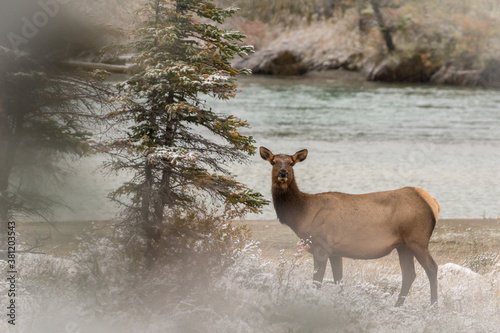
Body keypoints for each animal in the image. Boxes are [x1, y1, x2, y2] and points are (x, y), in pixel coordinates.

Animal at [260, 147, 440, 304]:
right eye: (274, 162)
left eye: (291, 163)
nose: (283, 173)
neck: (302, 213)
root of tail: (433, 203)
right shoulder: (335, 251)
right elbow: (338, 281)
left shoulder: (321, 246)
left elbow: (317, 283)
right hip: (403, 245)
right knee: (409, 274)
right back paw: (397, 306)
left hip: (417, 239)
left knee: (432, 268)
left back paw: (433, 307)